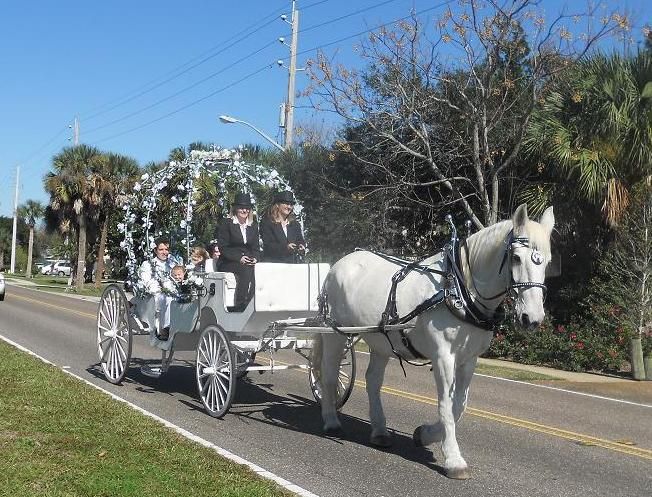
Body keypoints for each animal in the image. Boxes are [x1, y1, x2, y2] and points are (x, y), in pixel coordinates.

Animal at [318, 203, 552, 478]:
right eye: (516, 258)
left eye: (547, 262)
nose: (532, 318)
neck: (459, 288)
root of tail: (339, 263)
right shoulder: (443, 357)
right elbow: (446, 406)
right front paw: (453, 459)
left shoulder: (469, 359)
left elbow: (459, 405)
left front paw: (425, 434)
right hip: (335, 333)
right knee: (329, 373)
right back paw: (331, 420)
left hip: (380, 341)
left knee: (373, 380)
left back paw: (379, 430)